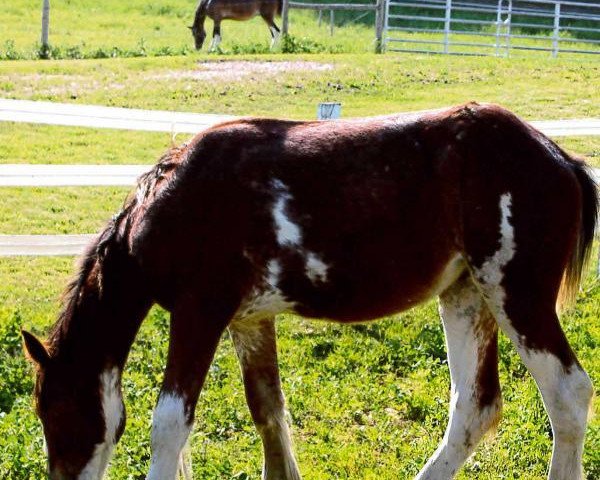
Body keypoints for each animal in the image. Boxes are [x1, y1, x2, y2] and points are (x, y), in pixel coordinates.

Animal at [22, 102, 596, 480]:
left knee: (568, 394)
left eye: (55, 413)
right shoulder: (249, 319)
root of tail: (560, 159)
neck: (176, 198)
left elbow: (168, 423)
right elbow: (268, 412)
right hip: (466, 297)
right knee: (476, 408)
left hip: (516, 295)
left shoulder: (199, 314)